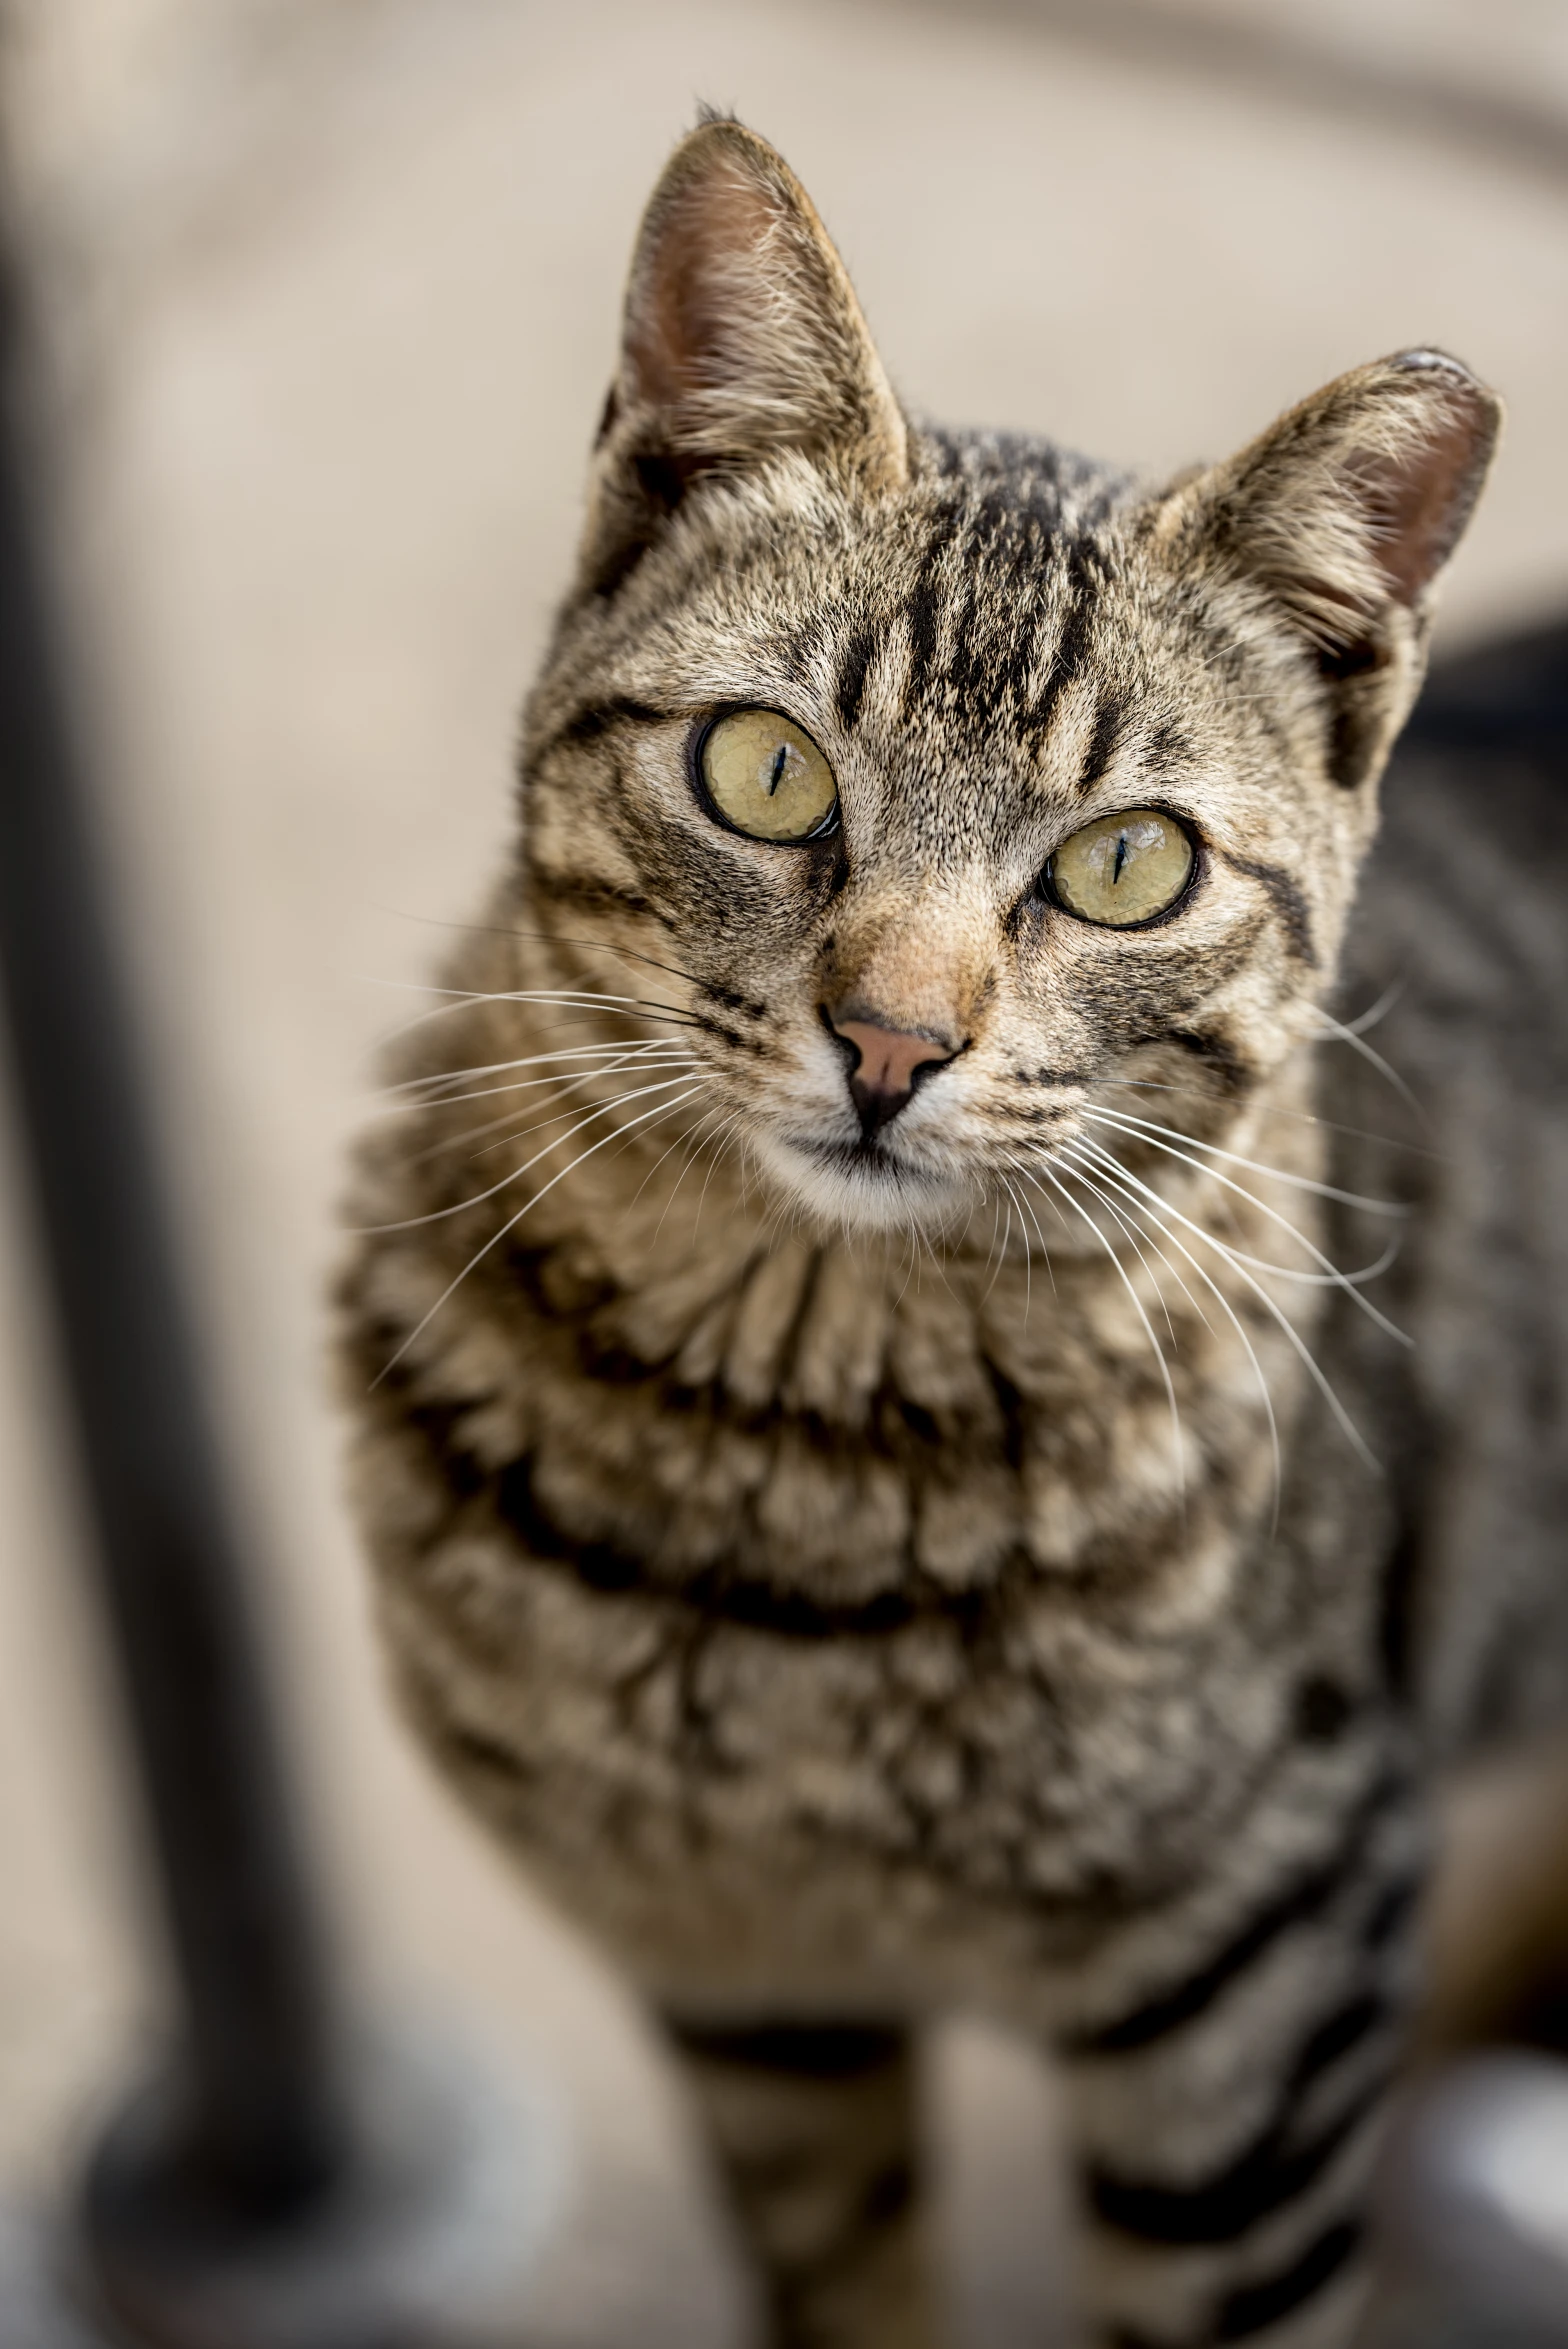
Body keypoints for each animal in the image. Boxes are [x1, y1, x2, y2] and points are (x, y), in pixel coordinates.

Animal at [333, 119, 1568, 2349]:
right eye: (760, 767)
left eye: (1125, 863)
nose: (891, 1040)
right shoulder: (746, 1977)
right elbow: (843, 2284)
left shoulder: (1265, 1996)